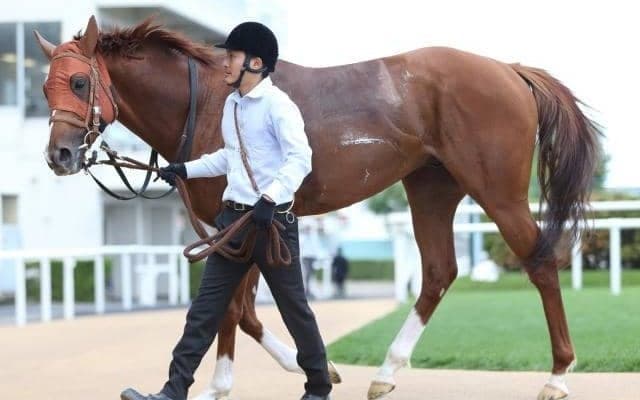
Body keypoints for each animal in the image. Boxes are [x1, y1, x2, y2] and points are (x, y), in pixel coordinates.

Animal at [37, 16, 600, 400]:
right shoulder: (239, 225)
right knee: (440, 271)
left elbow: (232, 309)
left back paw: (557, 375)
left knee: (541, 262)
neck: (212, 101)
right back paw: (385, 371)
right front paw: (315, 368)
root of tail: (510, 70)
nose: (59, 155)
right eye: (44, 86)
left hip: (498, 192)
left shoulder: (238, 222)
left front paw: (224, 384)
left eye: (80, 83)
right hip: (431, 189)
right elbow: (241, 310)